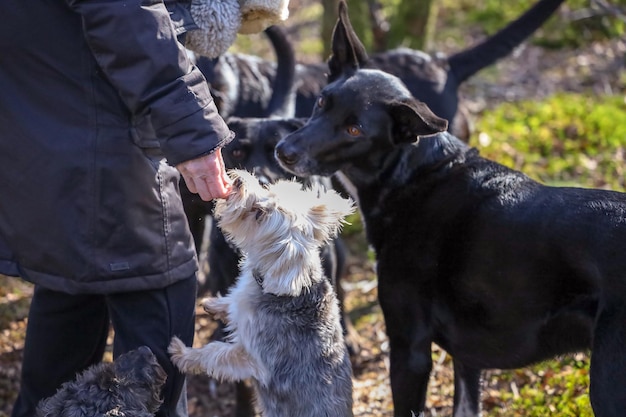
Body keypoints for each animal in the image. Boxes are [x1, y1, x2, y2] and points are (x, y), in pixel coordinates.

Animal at [168, 169, 354, 416]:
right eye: (269, 190)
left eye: (259, 214)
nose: (239, 181)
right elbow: (232, 304)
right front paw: (215, 305)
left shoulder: (249, 357)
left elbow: (214, 352)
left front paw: (183, 353)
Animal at [276, 1, 624, 414]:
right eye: (321, 102)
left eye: (354, 130)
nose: (284, 151)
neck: (416, 174)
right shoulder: (468, 358)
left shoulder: (409, 349)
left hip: (608, 385)